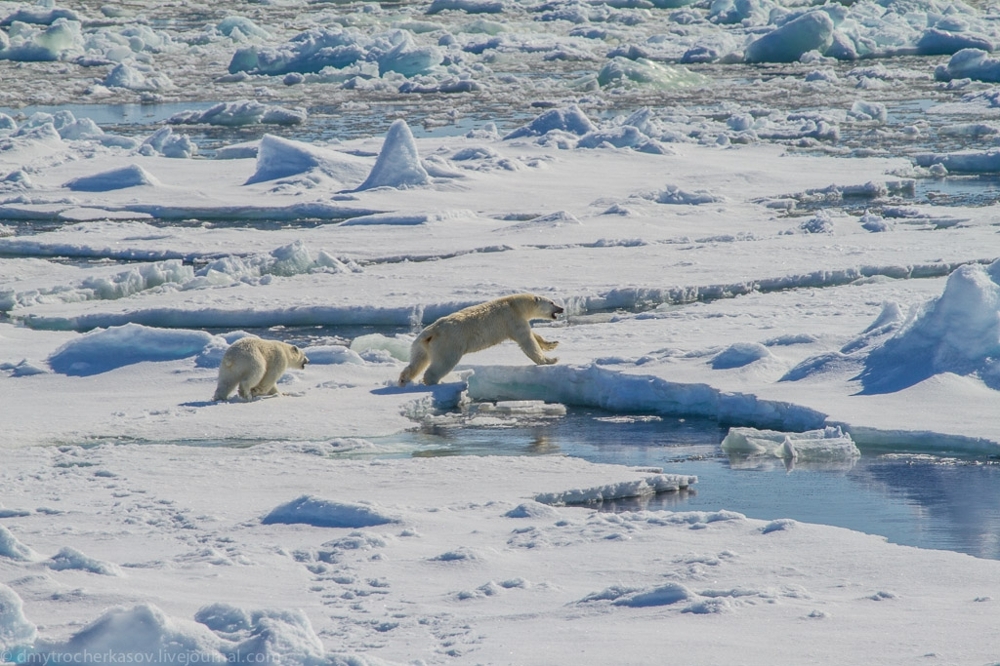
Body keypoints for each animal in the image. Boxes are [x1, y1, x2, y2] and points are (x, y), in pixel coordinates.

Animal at [396, 294, 564, 386]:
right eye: (552, 302)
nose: (561, 308)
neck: (515, 304)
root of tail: (430, 332)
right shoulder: (511, 318)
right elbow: (527, 341)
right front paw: (550, 360)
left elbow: (532, 335)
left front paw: (552, 344)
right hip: (449, 342)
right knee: (443, 362)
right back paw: (435, 382)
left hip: (421, 344)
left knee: (417, 361)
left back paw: (404, 380)